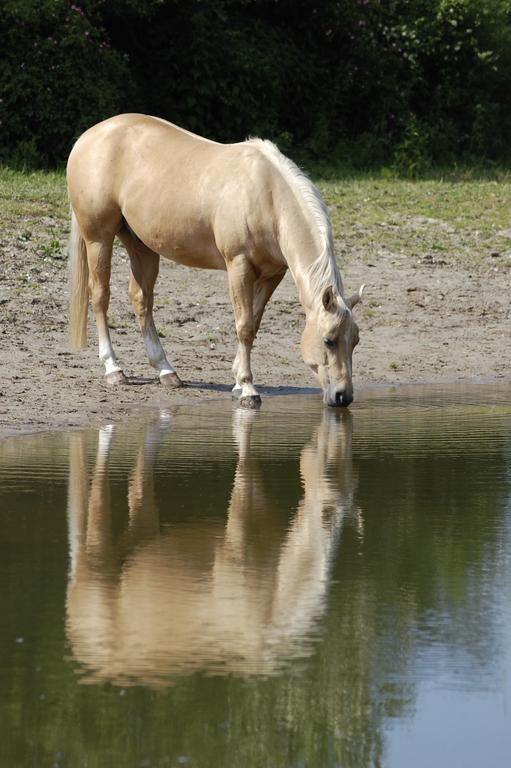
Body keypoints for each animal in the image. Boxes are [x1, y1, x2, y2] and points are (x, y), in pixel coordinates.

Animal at [68, 114, 364, 408]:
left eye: (356, 340)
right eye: (328, 340)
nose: (343, 396)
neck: (267, 196)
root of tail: (89, 136)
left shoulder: (272, 274)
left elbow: (254, 323)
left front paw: (237, 382)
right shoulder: (238, 267)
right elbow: (244, 326)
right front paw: (247, 389)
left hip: (142, 245)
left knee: (141, 300)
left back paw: (166, 371)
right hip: (99, 239)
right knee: (100, 296)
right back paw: (113, 369)